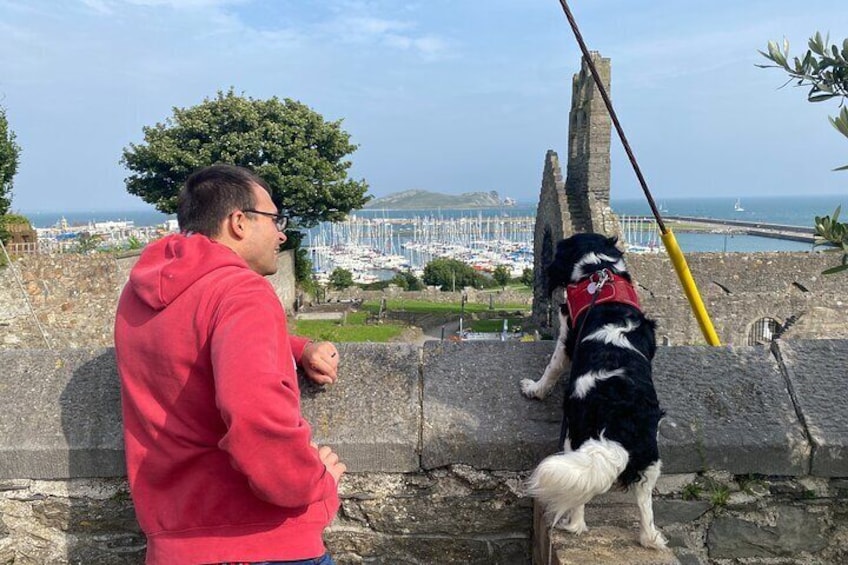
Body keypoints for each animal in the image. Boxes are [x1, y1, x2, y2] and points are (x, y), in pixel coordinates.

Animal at [516, 231, 668, 548]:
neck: (598, 268)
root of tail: (620, 417)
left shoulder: (566, 334)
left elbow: (552, 368)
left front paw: (534, 389)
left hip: (573, 437)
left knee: (579, 502)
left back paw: (571, 525)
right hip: (650, 457)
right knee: (645, 506)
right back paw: (651, 539)